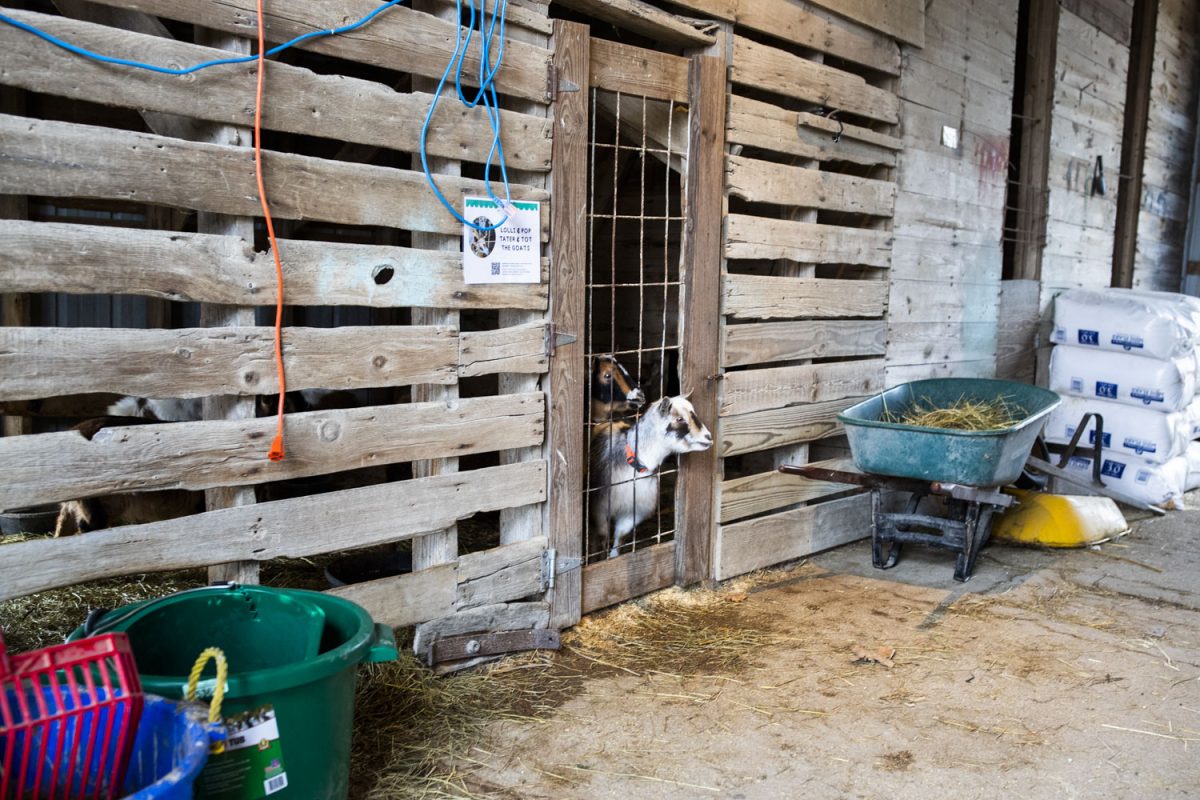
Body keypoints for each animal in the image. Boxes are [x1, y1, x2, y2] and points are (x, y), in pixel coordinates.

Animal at [590, 393, 710, 556]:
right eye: (679, 418)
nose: (708, 437)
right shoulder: (599, 508)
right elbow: (602, 536)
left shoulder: (634, 512)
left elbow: (620, 537)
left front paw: (613, 556)